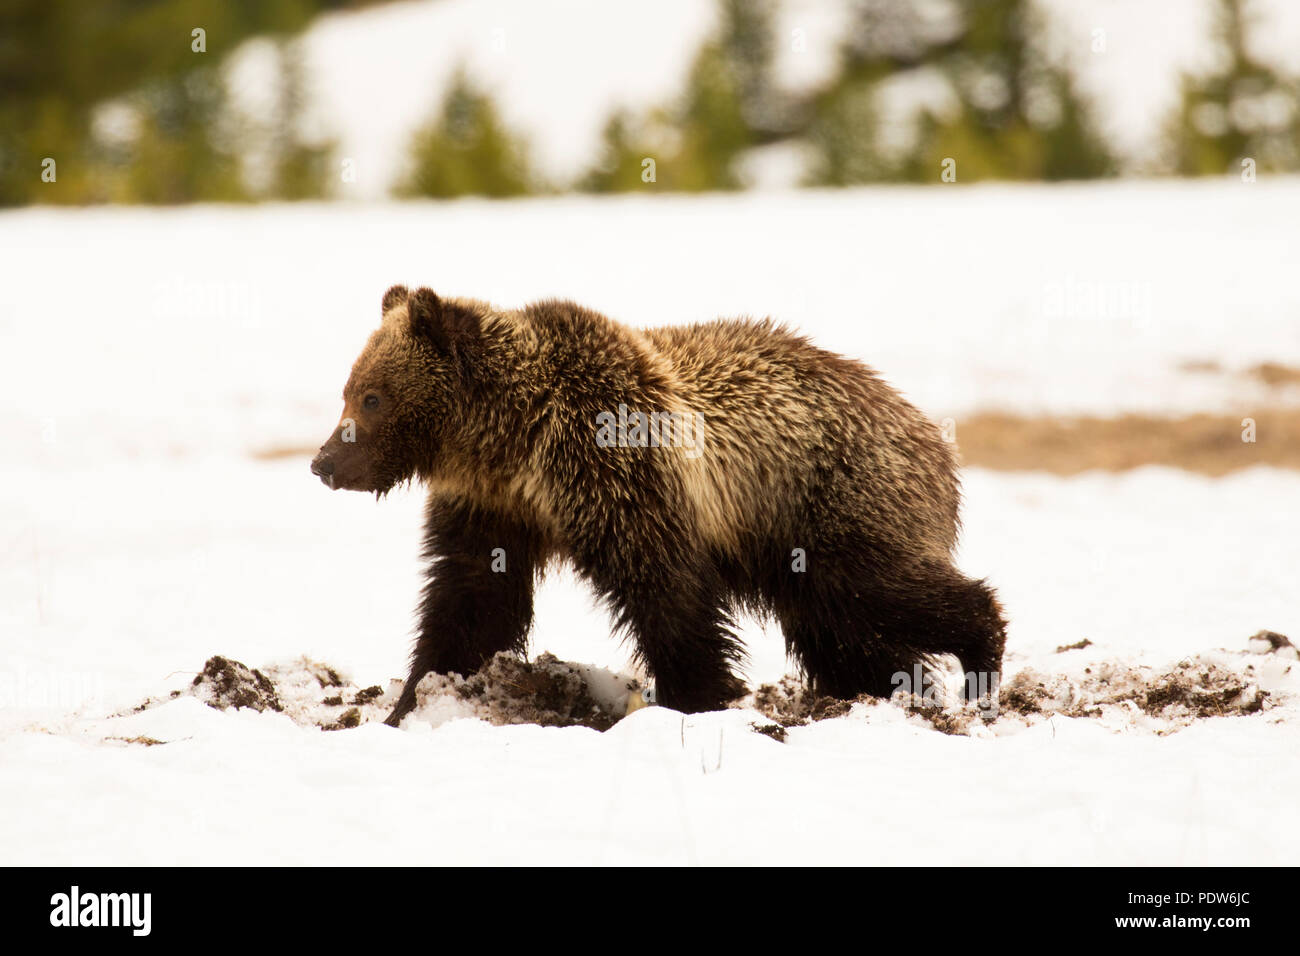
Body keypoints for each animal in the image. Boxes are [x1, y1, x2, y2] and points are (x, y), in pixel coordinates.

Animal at [311, 286, 1006, 727]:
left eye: (371, 397)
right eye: (348, 389)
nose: (323, 463)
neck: (515, 443)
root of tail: (929, 438)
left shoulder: (619, 469)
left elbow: (666, 592)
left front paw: (697, 697)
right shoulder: (494, 508)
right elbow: (470, 600)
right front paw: (409, 702)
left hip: (834, 502)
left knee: (881, 589)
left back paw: (981, 661)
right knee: (843, 629)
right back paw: (886, 689)